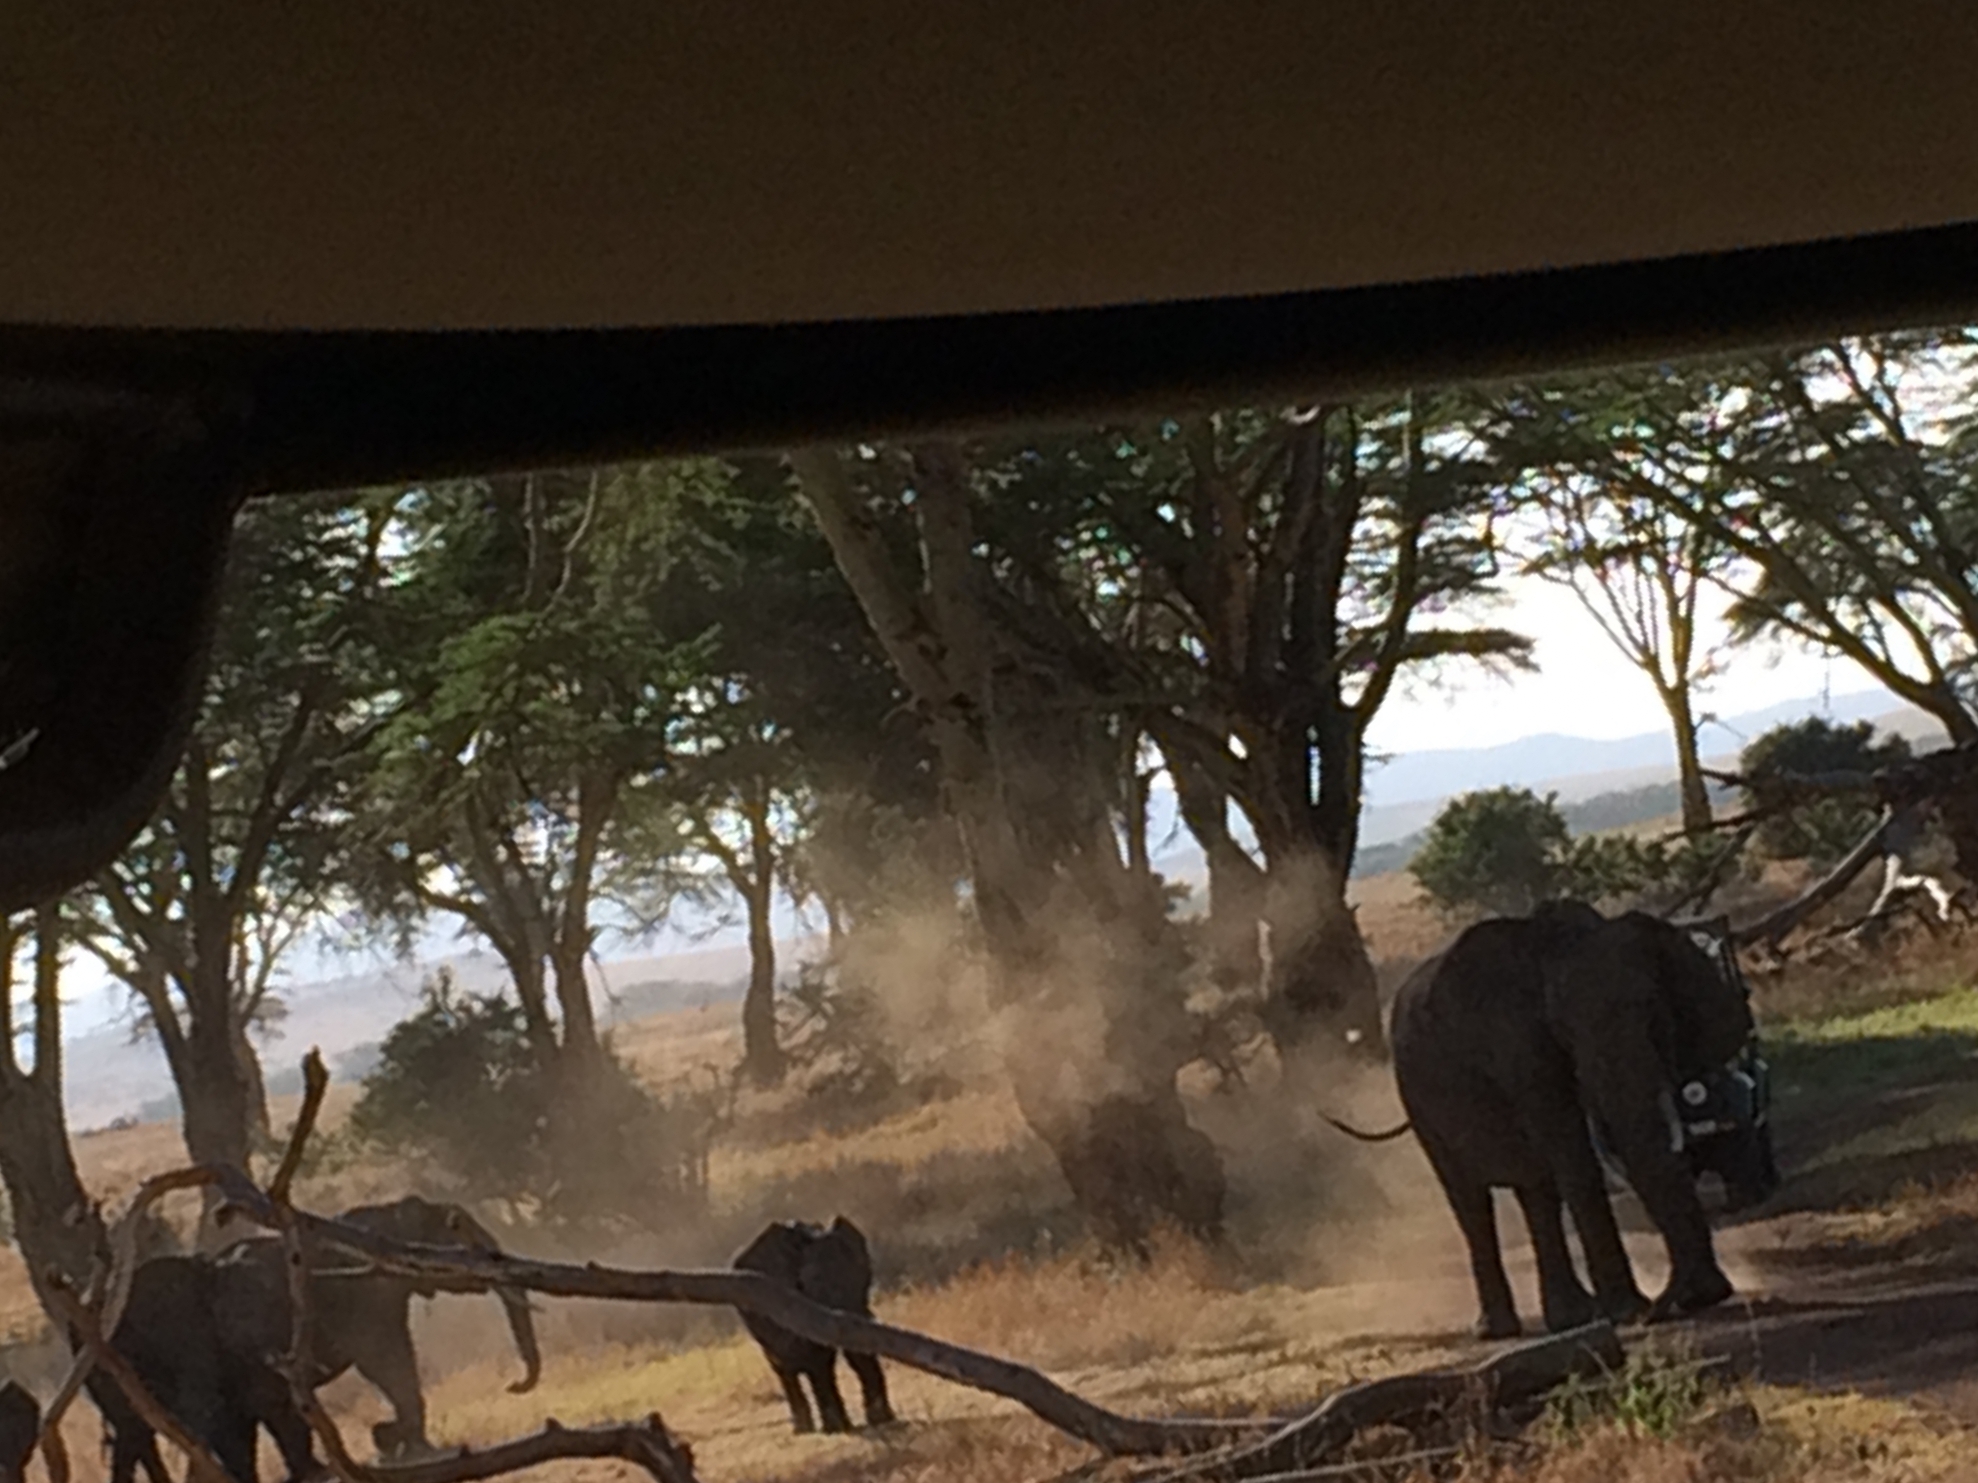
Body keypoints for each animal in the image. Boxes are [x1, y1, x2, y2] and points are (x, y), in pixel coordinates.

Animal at [214, 1194, 549, 1463]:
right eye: (466, 1237)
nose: (513, 1385)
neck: (394, 1214)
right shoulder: (369, 1292)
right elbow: (386, 1359)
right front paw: (404, 1445)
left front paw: (393, 1441)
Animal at [731, 1218, 894, 1439]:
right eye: (811, 1281)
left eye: (866, 1275)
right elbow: (809, 1356)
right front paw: (835, 1428)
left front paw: (876, 1420)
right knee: (781, 1365)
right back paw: (806, 1429)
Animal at [1384, 905, 1772, 1344]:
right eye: (1565, 1031)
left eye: (1657, 1016)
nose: (1666, 1306)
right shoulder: (1520, 1053)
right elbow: (1574, 1156)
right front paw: (1627, 1310)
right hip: (1417, 1103)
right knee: (1470, 1200)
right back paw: (1498, 1330)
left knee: (1537, 1193)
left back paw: (1571, 1318)